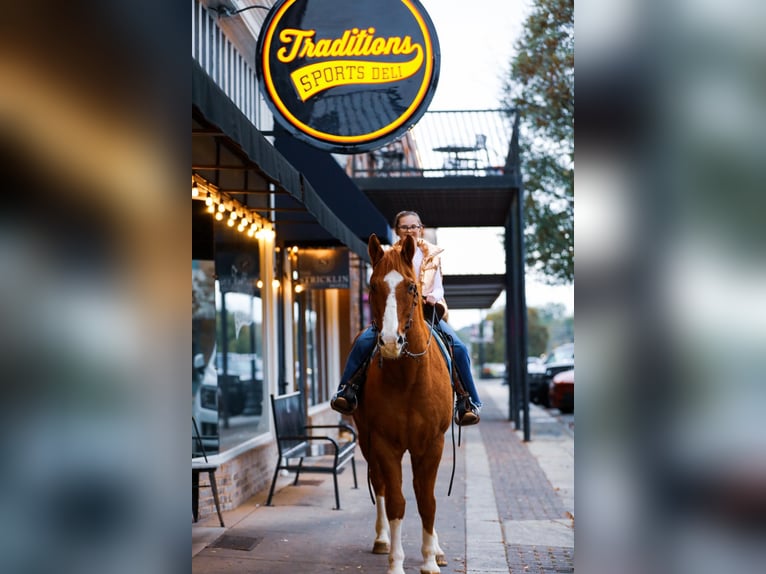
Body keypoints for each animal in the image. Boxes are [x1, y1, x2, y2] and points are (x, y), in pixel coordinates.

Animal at [354, 233, 456, 574]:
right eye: (373, 286)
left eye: (412, 287)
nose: (388, 342)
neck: (408, 379)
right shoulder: (385, 442)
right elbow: (397, 500)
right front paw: (395, 563)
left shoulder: (433, 443)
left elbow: (427, 500)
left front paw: (429, 560)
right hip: (365, 439)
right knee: (380, 485)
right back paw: (381, 539)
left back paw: (436, 548)